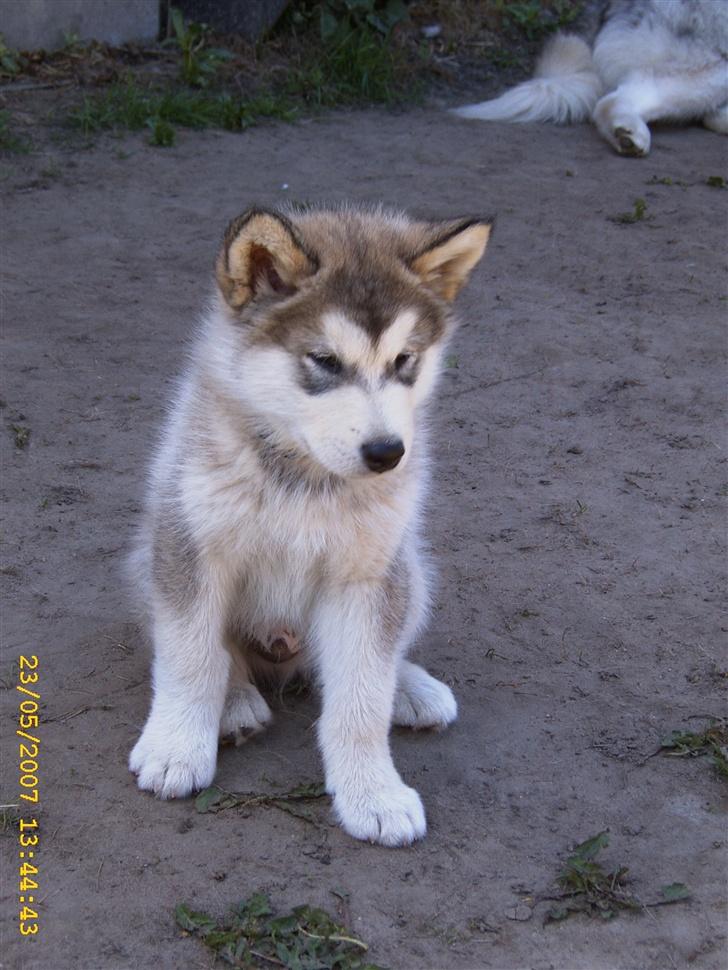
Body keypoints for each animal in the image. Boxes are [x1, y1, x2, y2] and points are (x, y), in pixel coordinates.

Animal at [128, 202, 492, 840]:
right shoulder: (189, 545)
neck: (305, 475)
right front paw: (175, 748)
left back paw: (410, 686)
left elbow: (362, 697)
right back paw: (235, 702)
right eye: (324, 361)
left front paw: (373, 792)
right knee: (221, 655)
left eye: (404, 361)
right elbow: (191, 657)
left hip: (410, 567)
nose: (387, 453)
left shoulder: (368, 575)